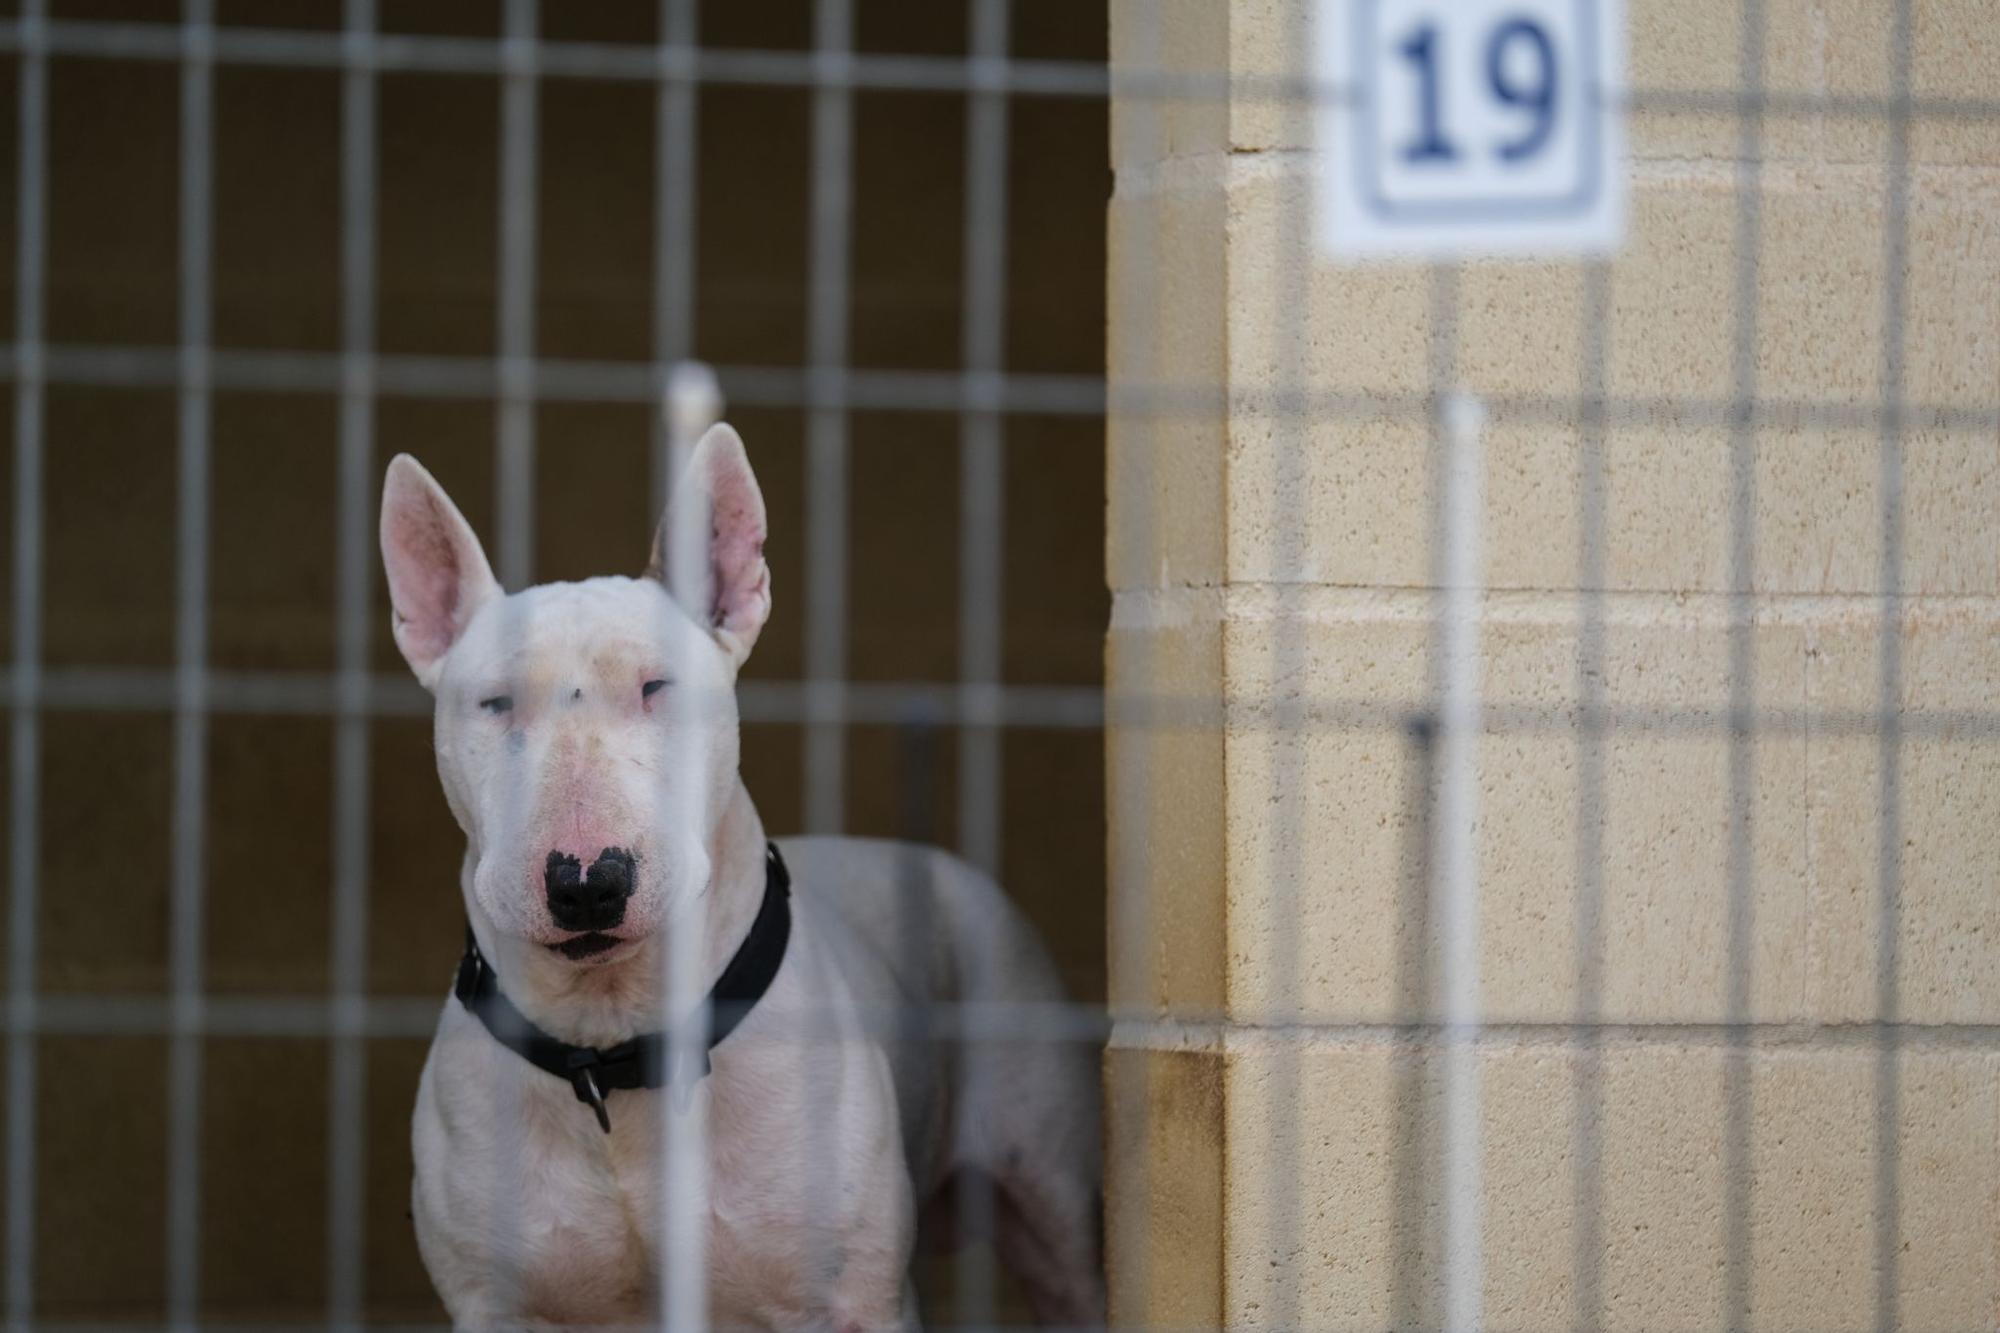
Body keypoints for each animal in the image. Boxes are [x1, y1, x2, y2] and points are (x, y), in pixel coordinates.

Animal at [376, 428, 1096, 1328]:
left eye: (658, 686)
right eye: (496, 703)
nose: (586, 882)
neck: (618, 1046)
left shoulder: (854, 1301)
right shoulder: (496, 1305)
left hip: (1054, 1204)